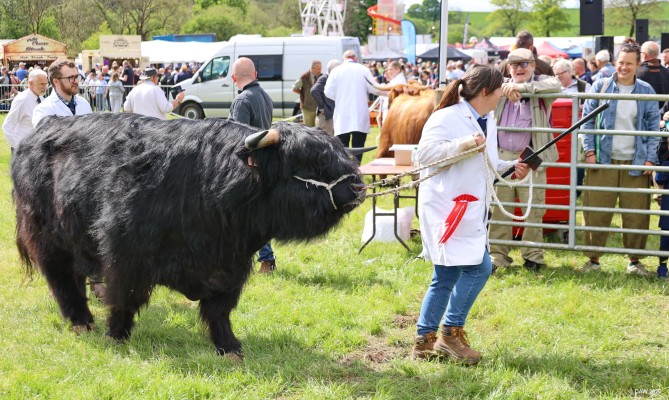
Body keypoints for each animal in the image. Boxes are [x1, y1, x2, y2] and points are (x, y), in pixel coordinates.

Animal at [11, 113, 366, 359]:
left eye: (340, 153)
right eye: (310, 163)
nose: (359, 188)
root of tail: (38, 131)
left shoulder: (231, 266)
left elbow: (220, 310)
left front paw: (229, 347)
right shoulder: (125, 252)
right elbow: (126, 297)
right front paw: (116, 335)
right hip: (47, 237)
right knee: (62, 278)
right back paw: (81, 320)